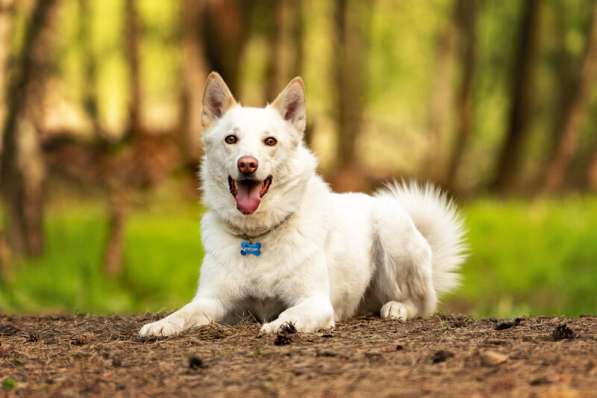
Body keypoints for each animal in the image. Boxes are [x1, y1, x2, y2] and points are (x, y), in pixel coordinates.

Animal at [140, 72, 466, 336]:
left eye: (270, 141)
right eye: (231, 139)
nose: (247, 164)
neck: (256, 236)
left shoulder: (315, 302)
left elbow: (291, 312)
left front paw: (281, 325)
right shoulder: (213, 300)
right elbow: (185, 312)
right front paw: (161, 325)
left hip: (394, 234)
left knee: (424, 303)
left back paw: (397, 308)